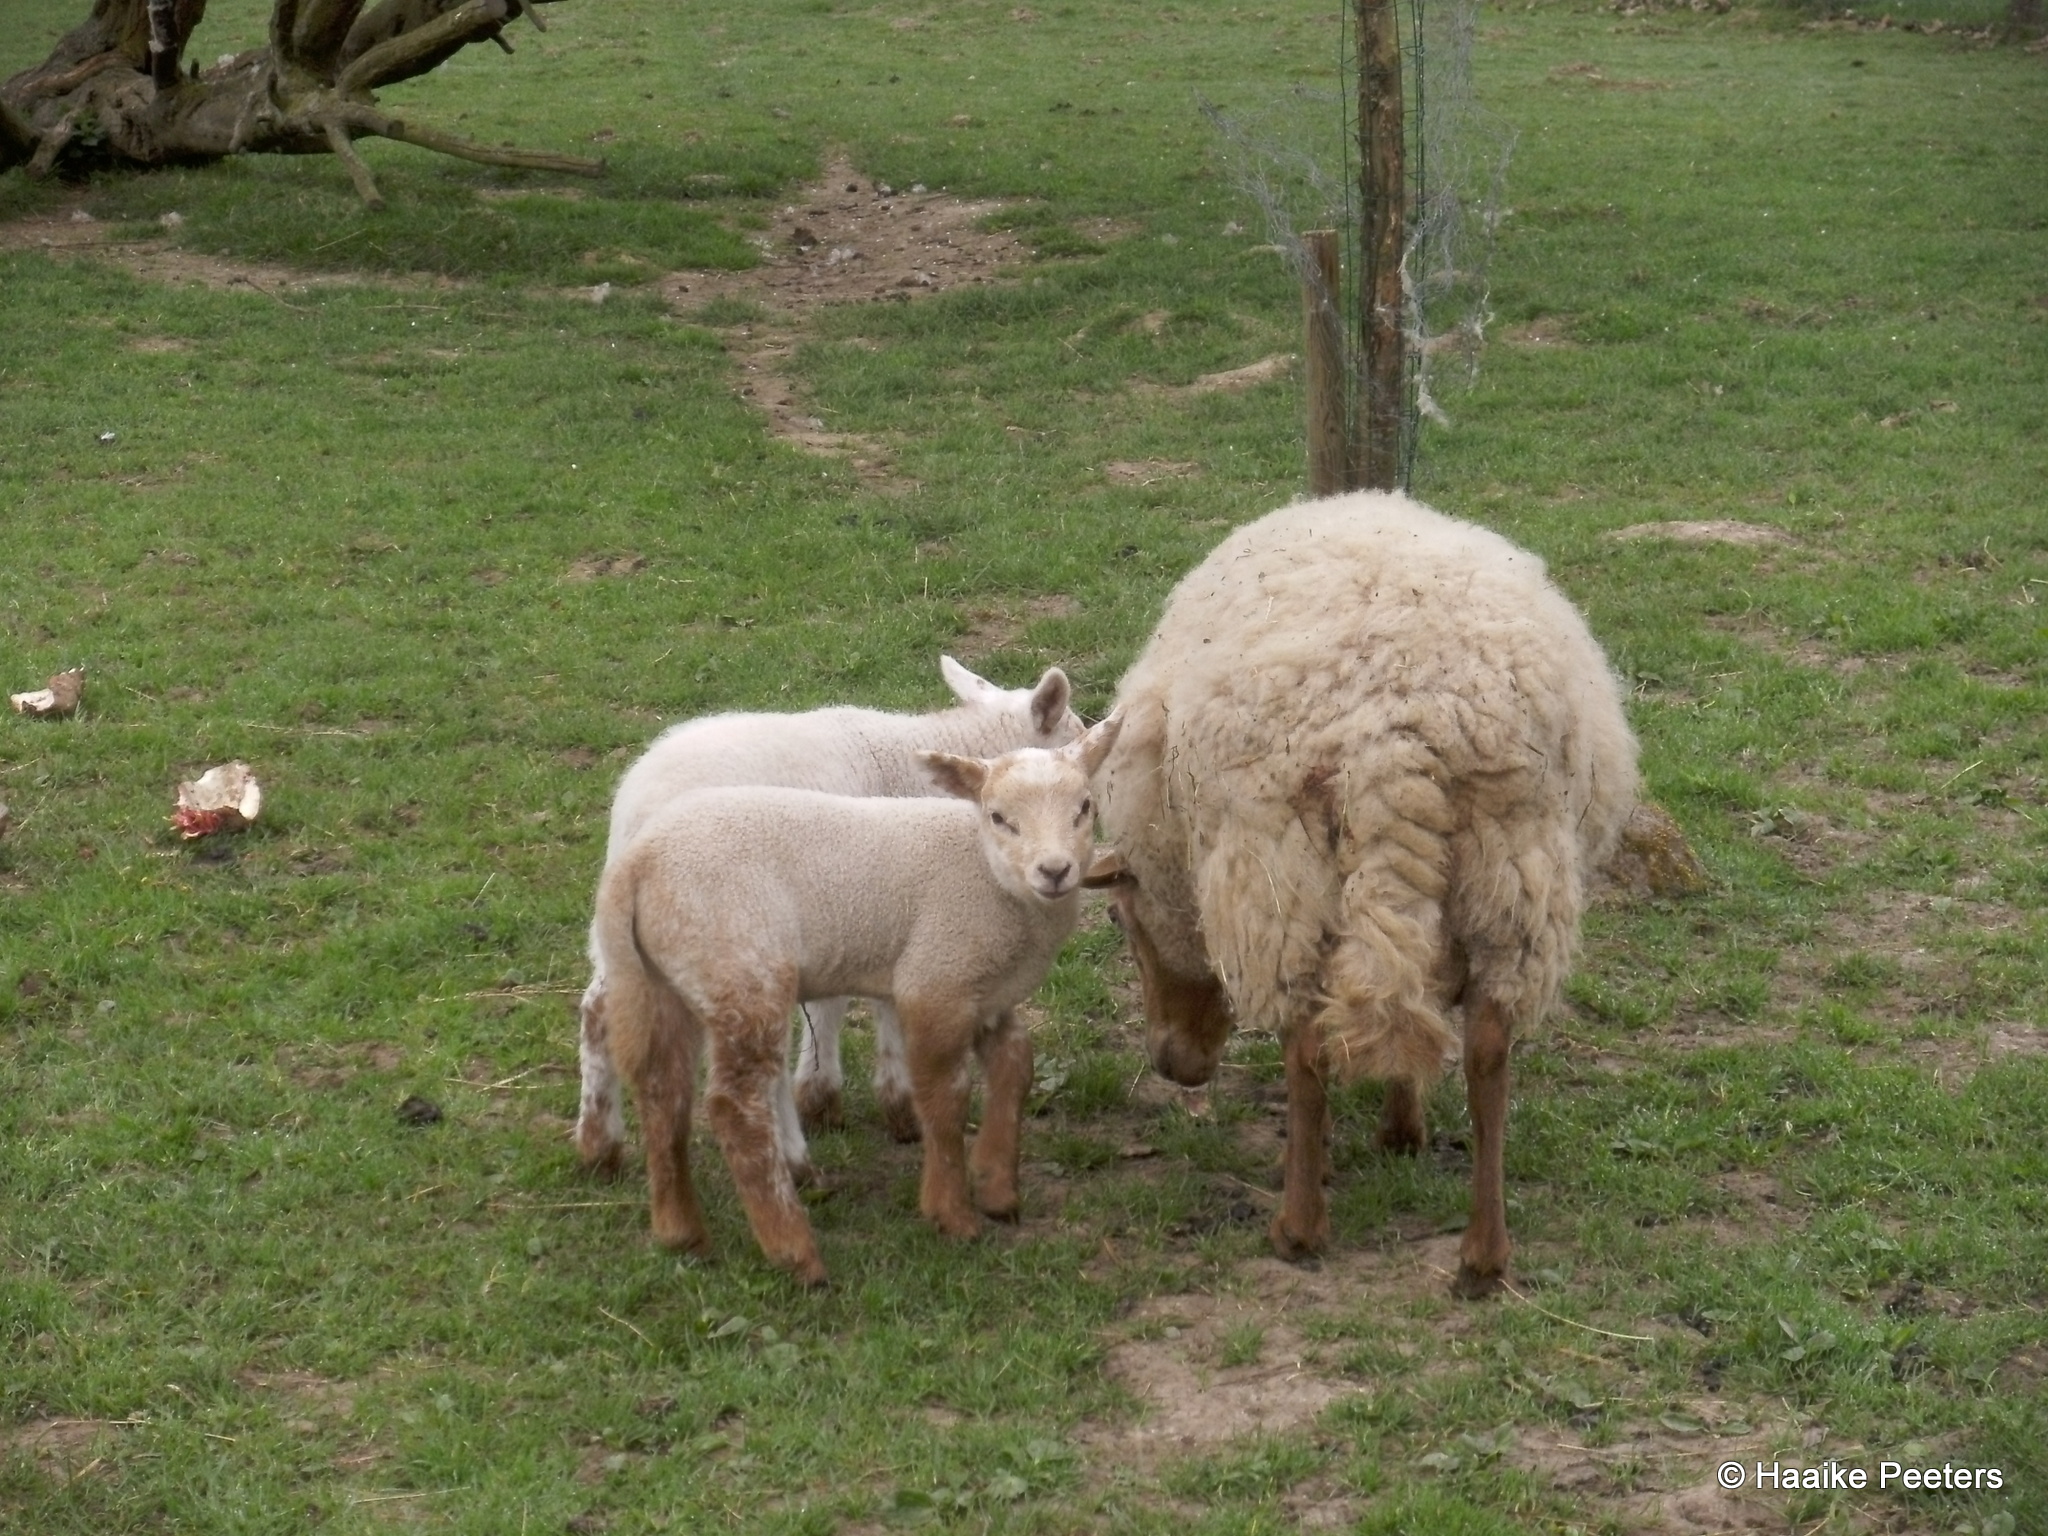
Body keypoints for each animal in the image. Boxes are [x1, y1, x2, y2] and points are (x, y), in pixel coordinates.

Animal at [573, 659, 1089, 1179]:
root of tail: (639, 812)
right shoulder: (864, 900)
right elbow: (847, 1005)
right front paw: (850, 1100)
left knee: (598, 1006)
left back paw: (600, 1142)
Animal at [585, 720, 1130, 1286]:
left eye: (1084, 807)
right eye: (999, 817)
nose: (1055, 870)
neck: (988, 877)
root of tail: (635, 865)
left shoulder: (984, 992)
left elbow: (1015, 1069)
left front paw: (997, 1185)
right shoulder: (935, 979)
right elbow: (946, 1098)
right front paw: (952, 1213)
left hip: (668, 975)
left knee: (662, 1089)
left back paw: (680, 1229)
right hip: (742, 967)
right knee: (734, 1108)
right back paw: (793, 1249)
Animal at [1097, 493, 1638, 1302]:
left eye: (1122, 919)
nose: (1172, 1067)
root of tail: (1401, 730)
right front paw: (1401, 1129)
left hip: (1279, 874)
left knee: (1307, 1040)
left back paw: (1298, 1225)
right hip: (1517, 869)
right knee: (1484, 1044)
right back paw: (1482, 1256)